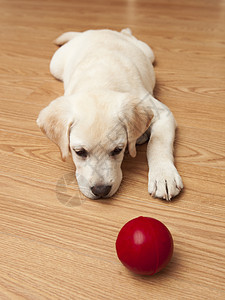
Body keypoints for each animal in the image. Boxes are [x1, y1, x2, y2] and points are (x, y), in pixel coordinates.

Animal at [36, 29, 183, 200]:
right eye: (79, 152)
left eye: (118, 150)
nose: (100, 191)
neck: (100, 82)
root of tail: (97, 30)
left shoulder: (161, 113)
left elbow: (158, 143)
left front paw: (164, 176)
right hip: (56, 64)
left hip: (148, 52)